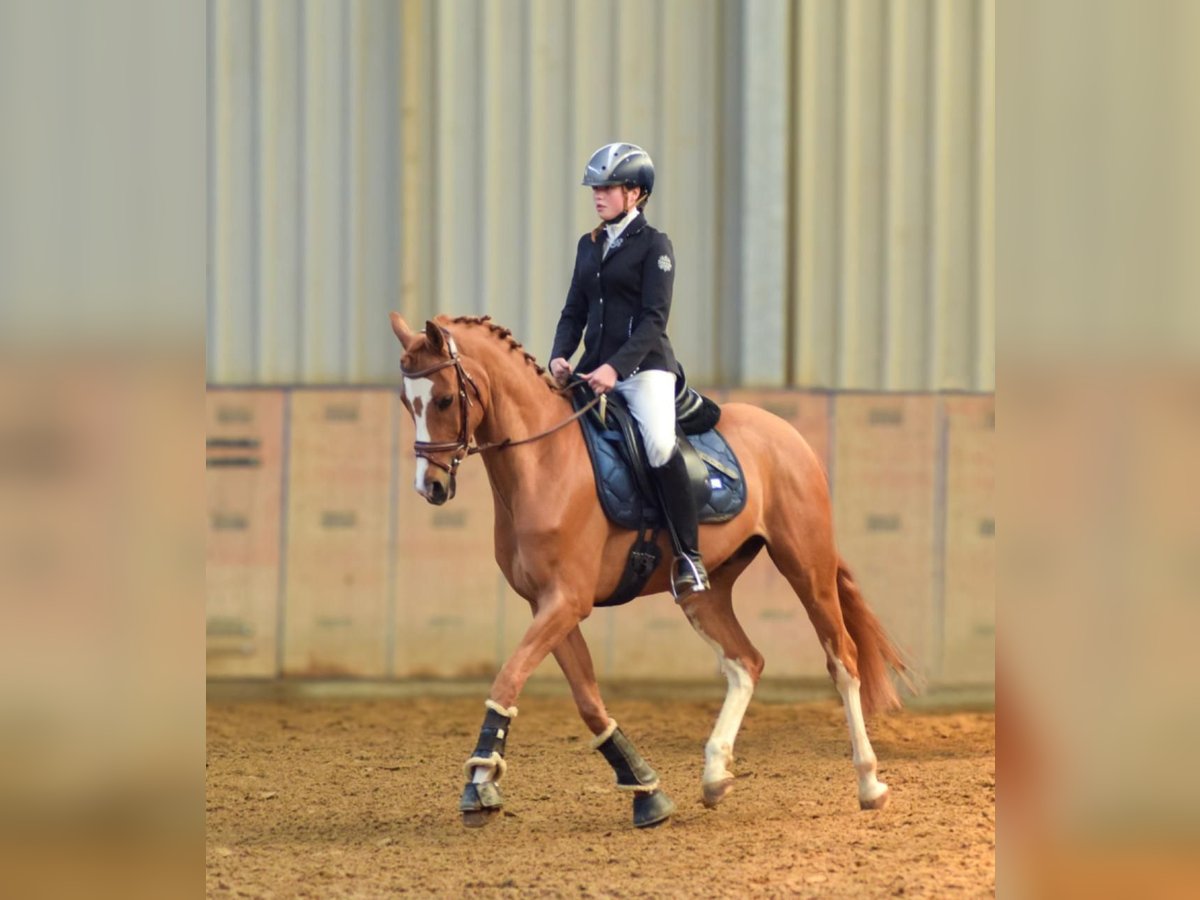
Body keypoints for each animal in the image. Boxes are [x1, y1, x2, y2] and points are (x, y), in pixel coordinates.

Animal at [393, 312, 907, 830]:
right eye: (405, 401)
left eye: (443, 398)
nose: (430, 487)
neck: (543, 461)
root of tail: (785, 432)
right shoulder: (548, 604)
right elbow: (586, 700)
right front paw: (646, 789)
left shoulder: (567, 600)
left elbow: (509, 677)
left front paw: (479, 783)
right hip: (704, 592)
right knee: (746, 662)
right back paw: (715, 775)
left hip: (806, 566)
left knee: (842, 660)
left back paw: (869, 783)